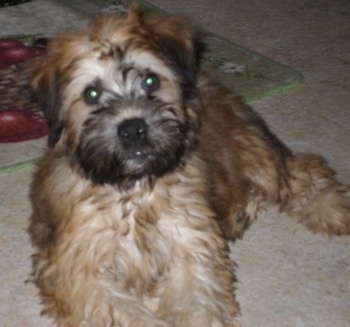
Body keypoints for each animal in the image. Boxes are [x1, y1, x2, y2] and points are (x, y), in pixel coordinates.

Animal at [28, 7, 350, 327]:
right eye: (91, 94)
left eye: (150, 80)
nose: (133, 129)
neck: (135, 189)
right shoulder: (78, 270)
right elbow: (125, 312)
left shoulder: (191, 248)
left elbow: (197, 306)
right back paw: (240, 214)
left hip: (257, 155)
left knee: (303, 173)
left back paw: (333, 209)